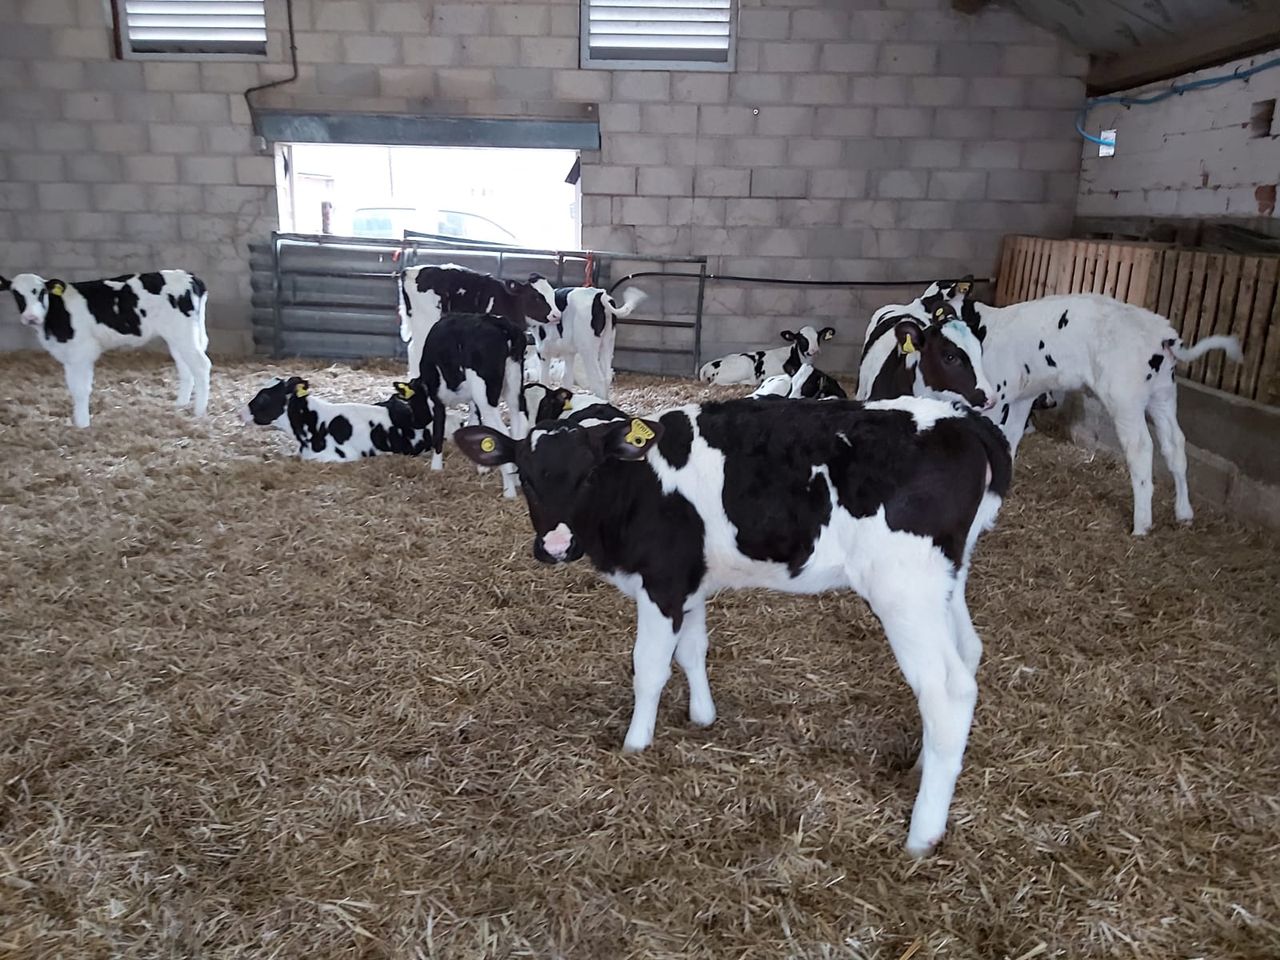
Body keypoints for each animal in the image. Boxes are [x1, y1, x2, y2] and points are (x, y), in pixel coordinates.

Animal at [0, 270, 210, 428]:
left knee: (201, 365)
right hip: (177, 336)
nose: (31, 317)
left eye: (41, 292)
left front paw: (83, 424)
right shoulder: (68, 354)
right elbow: (73, 388)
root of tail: (189, 276)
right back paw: (181, 403)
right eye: (16, 294)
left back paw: (199, 412)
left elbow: (81, 389)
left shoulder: (81, 351)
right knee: (185, 366)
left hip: (183, 333)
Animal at [398, 264, 559, 378]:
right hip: (425, 322)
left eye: (552, 294)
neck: (507, 301)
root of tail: (409, 271)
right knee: (416, 350)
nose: (556, 314)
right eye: (536, 297)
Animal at [410, 311, 529, 497]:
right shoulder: (474, 401)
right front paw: (482, 466)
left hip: (486, 394)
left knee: (502, 431)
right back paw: (516, 481)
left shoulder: (436, 397)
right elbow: (475, 424)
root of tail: (499, 323)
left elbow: (438, 431)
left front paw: (436, 468)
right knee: (519, 425)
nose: (415, 423)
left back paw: (509, 491)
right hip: (514, 386)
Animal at [453, 395, 1012, 857]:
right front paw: (702, 716)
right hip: (944, 583)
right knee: (968, 651)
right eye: (525, 476)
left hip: (904, 589)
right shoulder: (688, 582)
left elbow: (649, 666)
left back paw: (922, 834)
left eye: (589, 475)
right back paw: (921, 761)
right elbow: (692, 650)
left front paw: (636, 743)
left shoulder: (662, 580)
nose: (554, 546)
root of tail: (962, 419)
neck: (637, 485)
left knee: (948, 688)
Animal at [698, 325, 836, 386]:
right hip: (743, 366)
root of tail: (708, 364)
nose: (814, 350)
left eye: (818, 337)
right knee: (717, 382)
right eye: (801, 339)